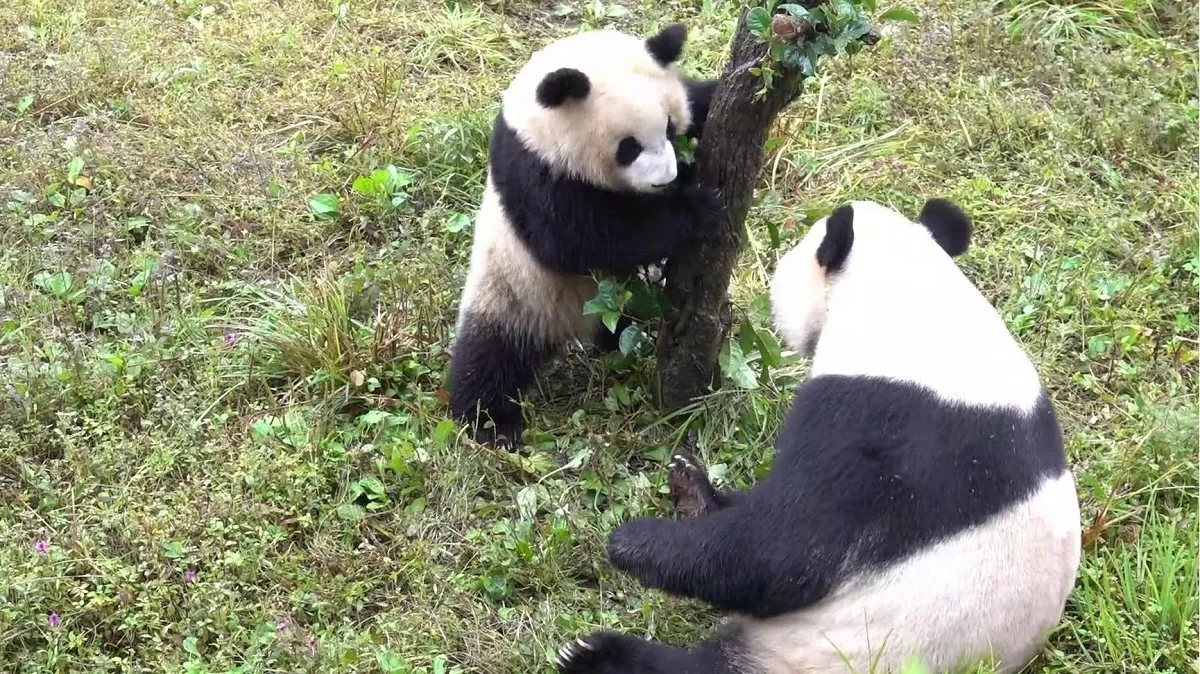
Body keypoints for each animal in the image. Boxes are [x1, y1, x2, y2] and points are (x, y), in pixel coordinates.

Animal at [449, 24, 722, 446]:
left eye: (669, 127)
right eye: (629, 147)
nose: (666, 179)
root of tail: (572, 326)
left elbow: (702, 99)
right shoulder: (535, 170)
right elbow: (580, 241)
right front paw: (698, 209)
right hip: (513, 294)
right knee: (489, 356)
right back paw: (490, 422)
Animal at [554, 199, 1082, 674]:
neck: (914, 306)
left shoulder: (879, 428)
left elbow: (784, 552)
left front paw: (633, 541)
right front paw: (691, 485)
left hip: (819, 654)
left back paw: (592, 655)